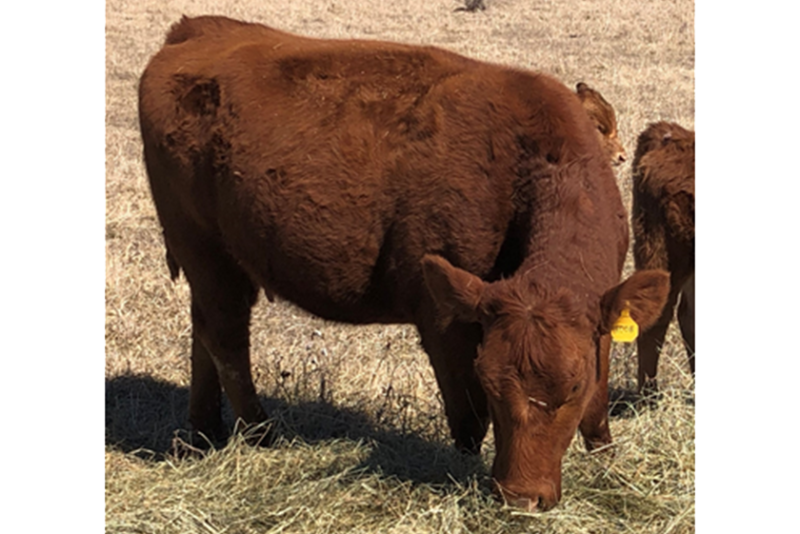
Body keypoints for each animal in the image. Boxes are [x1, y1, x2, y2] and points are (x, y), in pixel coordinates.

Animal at [138, 15, 669, 511]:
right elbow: (468, 416)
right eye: (490, 380)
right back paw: (260, 434)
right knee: (226, 338)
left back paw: (202, 434)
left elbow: (598, 407)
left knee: (204, 332)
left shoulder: (601, 313)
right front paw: (461, 470)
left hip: (222, 261)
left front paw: (606, 462)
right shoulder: (445, 317)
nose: (520, 497)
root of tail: (197, 30)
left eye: (573, 385)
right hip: (202, 248)